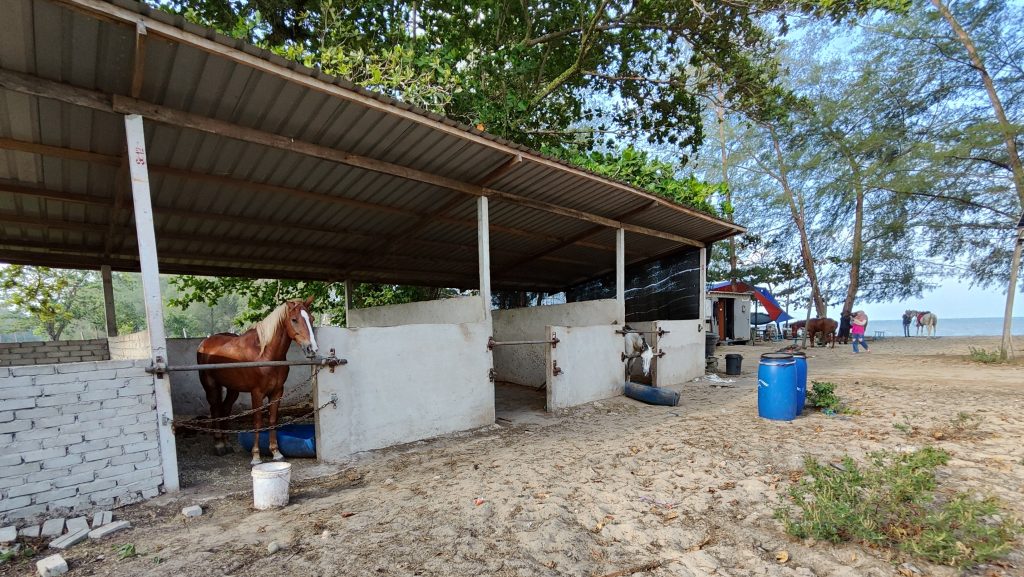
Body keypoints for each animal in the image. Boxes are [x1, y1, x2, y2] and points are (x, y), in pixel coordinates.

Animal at [195, 297, 315, 465]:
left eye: (312, 319)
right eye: (294, 320)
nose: (311, 348)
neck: (265, 353)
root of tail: (205, 343)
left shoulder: (277, 392)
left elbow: (272, 420)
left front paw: (276, 453)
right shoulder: (257, 393)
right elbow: (257, 422)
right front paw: (256, 456)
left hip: (233, 389)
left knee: (224, 409)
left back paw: (226, 443)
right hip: (211, 386)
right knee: (215, 409)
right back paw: (219, 445)